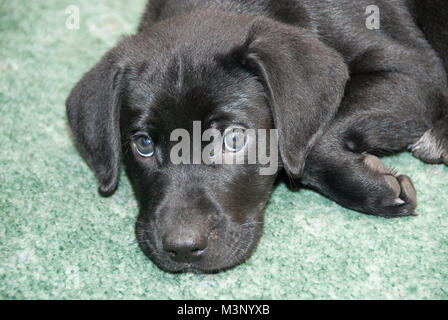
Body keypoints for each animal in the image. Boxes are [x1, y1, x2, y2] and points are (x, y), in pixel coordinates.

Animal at [67, 0, 448, 272]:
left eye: (234, 139)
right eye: (143, 145)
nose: (183, 248)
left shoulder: (414, 73)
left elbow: (307, 145)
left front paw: (374, 186)